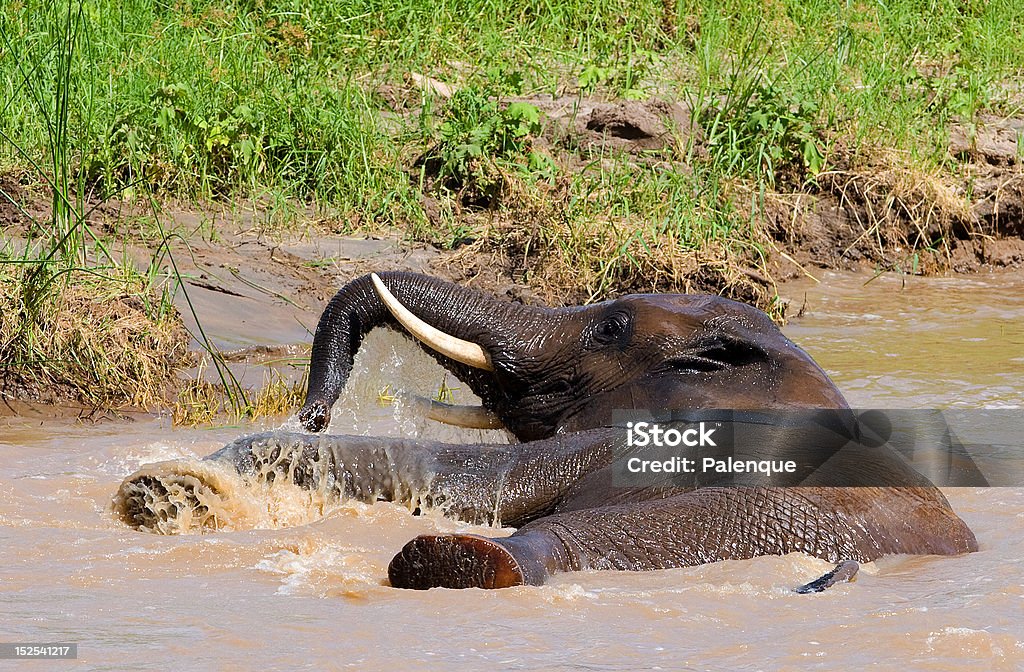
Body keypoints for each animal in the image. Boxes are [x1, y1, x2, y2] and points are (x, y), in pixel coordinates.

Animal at [116, 272, 978, 590]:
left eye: (610, 329)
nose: (315, 407)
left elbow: (482, 479)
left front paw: (178, 487)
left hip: (729, 515)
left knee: (561, 538)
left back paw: (451, 565)